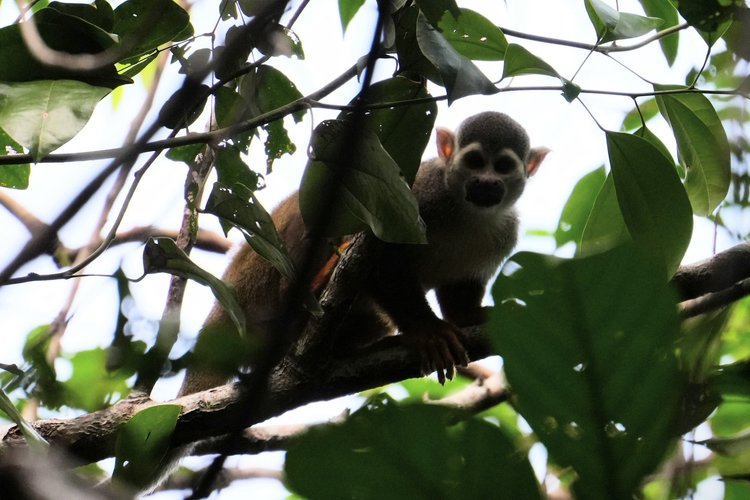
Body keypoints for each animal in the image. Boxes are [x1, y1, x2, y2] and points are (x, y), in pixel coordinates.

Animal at [180, 111, 548, 395]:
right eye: (475, 161)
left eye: (503, 166)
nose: (486, 182)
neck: (466, 211)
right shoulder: (421, 192)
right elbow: (381, 260)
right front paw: (428, 330)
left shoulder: (505, 233)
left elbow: (461, 291)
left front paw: (469, 316)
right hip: (261, 276)